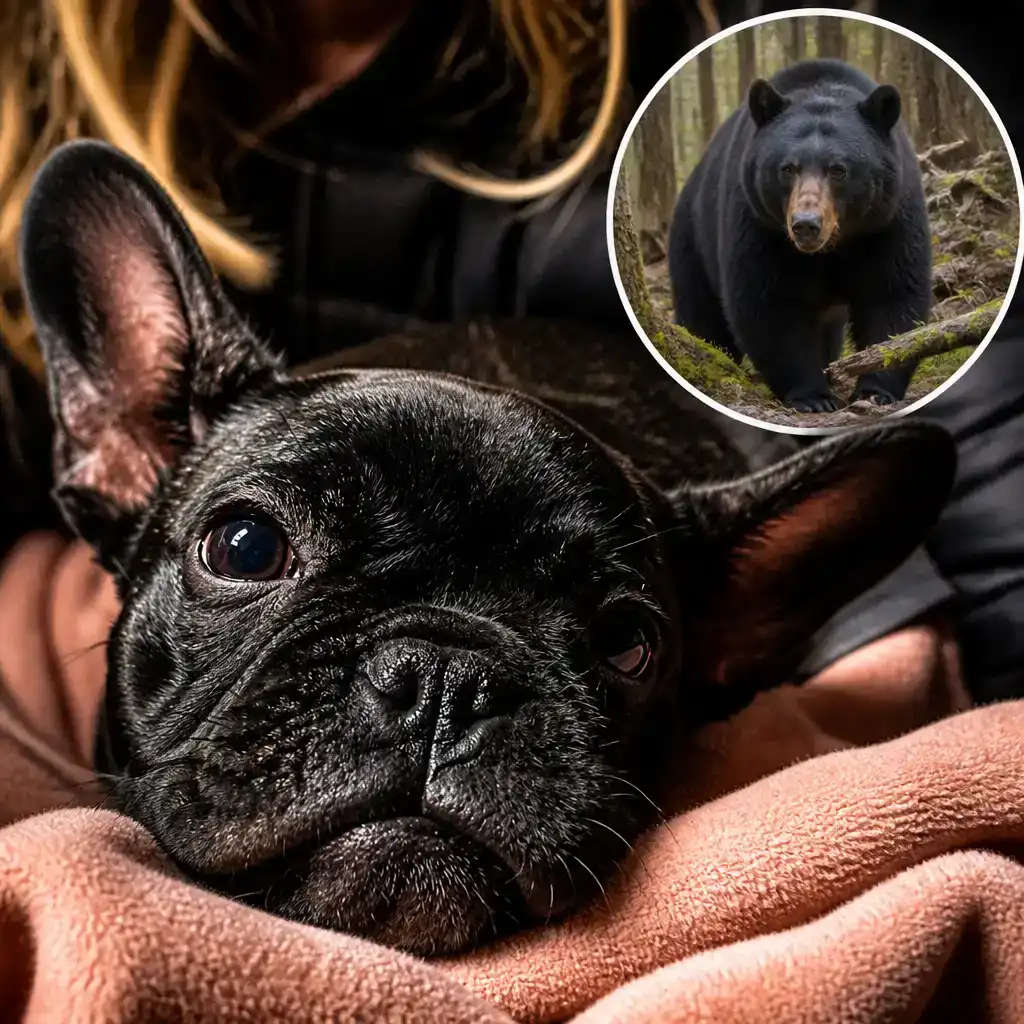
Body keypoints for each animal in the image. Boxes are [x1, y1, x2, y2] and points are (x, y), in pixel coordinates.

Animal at [667, 58, 932, 413]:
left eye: (839, 169)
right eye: (787, 168)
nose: (806, 224)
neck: (834, 245)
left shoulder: (888, 219)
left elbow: (892, 292)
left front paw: (874, 390)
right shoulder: (760, 223)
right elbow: (771, 303)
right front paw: (813, 396)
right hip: (694, 240)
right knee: (703, 315)